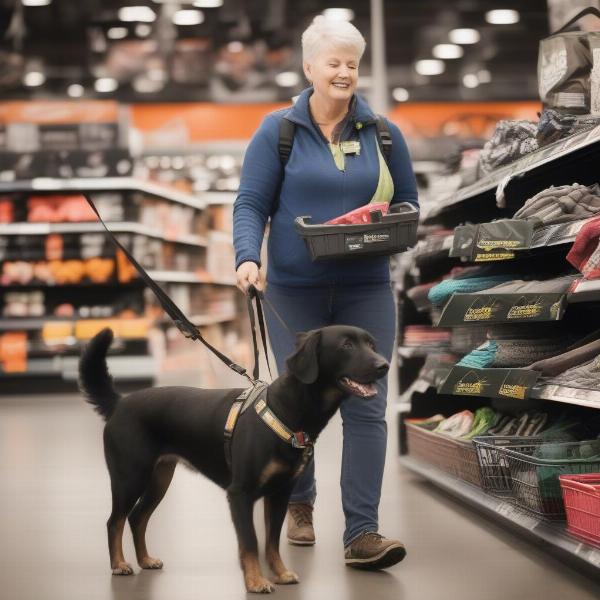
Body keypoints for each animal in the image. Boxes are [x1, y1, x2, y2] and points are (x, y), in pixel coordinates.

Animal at [79, 324, 390, 592]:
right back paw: (119, 564)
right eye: (347, 345)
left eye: (372, 344)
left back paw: (145, 560)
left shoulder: (280, 493)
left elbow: (271, 542)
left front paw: (280, 573)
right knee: (115, 521)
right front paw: (256, 582)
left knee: (137, 517)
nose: (384, 365)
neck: (287, 409)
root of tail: (120, 403)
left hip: (159, 479)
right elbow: (250, 542)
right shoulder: (240, 494)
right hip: (130, 477)